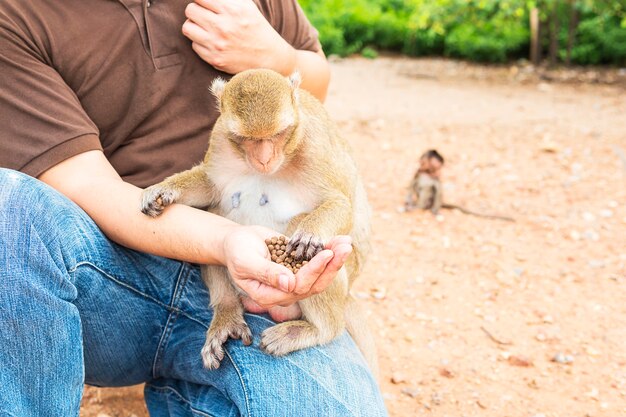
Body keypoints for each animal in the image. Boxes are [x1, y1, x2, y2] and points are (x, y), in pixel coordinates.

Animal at [140, 68, 376, 374]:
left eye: (278, 134)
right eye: (245, 138)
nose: (264, 159)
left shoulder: (313, 145)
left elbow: (341, 204)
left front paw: (310, 233)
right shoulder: (221, 138)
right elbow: (210, 187)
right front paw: (165, 190)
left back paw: (318, 330)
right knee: (215, 213)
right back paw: (227, 310)